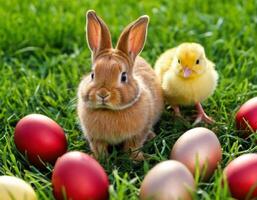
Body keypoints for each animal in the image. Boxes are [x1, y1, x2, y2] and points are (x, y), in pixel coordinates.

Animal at [77, 10, 163, 161]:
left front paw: (136, 159)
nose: (103, 94)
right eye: (92, 74)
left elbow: (133, 146)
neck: (109, 111)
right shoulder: (95, 138)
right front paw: (98, 158)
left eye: (123, 77)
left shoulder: (138, 134)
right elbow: (99, 148)